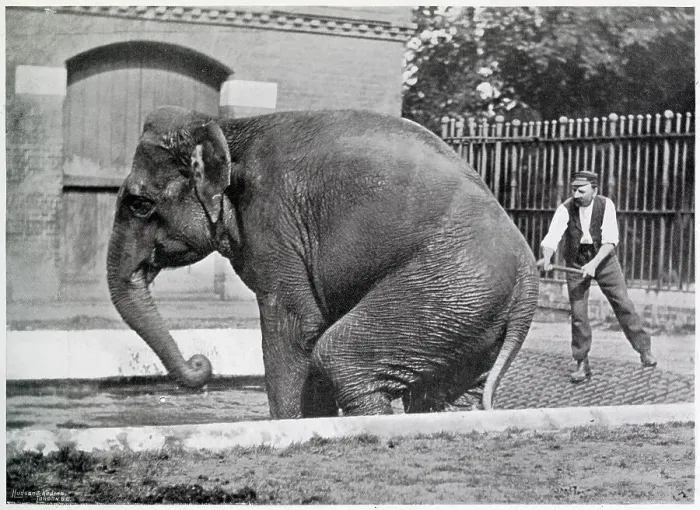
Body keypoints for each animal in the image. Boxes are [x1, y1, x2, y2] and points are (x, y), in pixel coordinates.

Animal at [106, 106, 539, 419]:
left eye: (139, 204)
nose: (201, 362)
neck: (227, 128)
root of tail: (528, 276)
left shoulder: (274, 221)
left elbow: (296, 325)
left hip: (450, 286)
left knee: (340, 357)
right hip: (472, 318)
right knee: (446, 394)